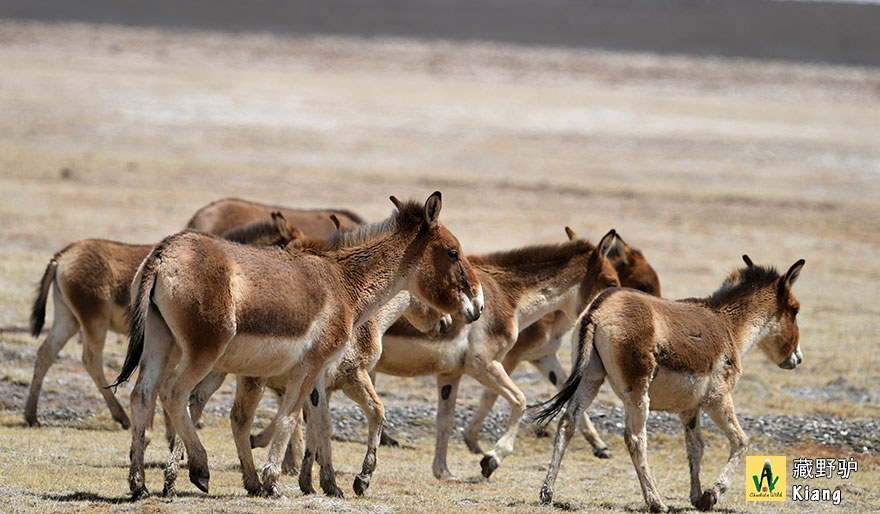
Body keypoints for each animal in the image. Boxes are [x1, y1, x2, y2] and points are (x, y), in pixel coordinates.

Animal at [113, 191, 484, 496]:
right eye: (453, 252)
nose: (478, 306)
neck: (345, 283)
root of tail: (164, 252)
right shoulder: (314, 365)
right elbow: (293, 418)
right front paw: (277, 481)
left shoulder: (319, 374)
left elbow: (316, 422)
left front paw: (321, 481)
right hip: (204, 351)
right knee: (175, 394)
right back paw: (200, 469)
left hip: (161, 343)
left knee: (142, 396)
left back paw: (140, 485)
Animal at [536, 254, 804, 510]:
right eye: (795, 310)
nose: (797, 358)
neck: (729, 326)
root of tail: (598, 308)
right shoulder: (718, 399)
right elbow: (741, 441)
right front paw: (713, 493)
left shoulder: (690, 409)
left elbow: (696, 448)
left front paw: (697, 497)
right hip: (637, 392)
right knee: (635, 439)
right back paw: (656, 502)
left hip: (590, 378)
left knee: (567, 423)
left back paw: (547, 493)